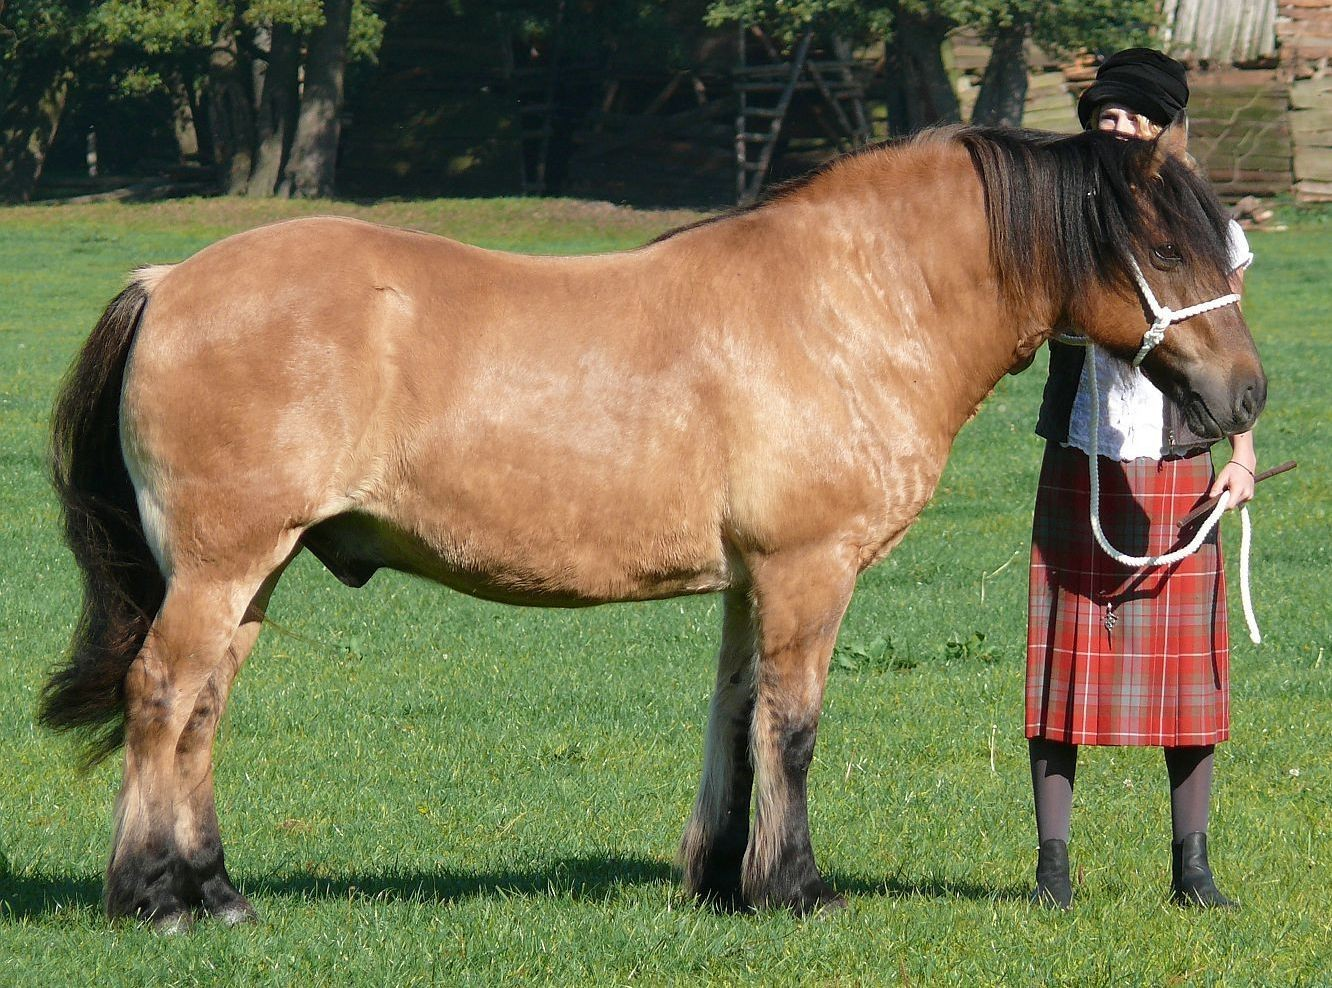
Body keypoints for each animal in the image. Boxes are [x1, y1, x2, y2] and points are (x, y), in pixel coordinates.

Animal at [44, 119, 1268, 932]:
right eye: (1167, 251)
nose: (1247, 396)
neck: (851, 306)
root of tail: (168, 279)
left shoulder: (751, 582)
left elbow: (735, 719)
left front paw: (724, 878)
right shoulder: (808, 572)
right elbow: (793, 728)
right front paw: (797, 887)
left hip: (250, 575)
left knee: (203, 711)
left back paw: (218, 890)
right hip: (221, 568)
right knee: (163, 696)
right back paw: (153, 898)